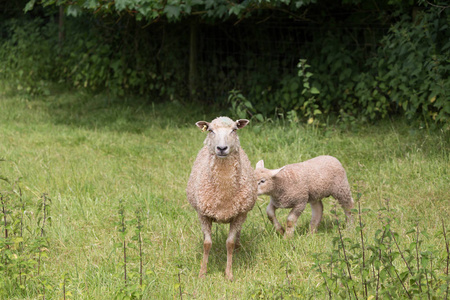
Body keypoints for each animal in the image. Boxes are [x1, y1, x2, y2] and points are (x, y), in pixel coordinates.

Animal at [185, 116, 256, 280]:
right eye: (211, 130)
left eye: (234, 129)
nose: (222, 148)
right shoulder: (203, 214)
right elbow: (207, 244)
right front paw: (202, 272)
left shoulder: (239, 214)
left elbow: (229, 243)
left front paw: (228, 273)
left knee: (238, 233)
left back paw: (238, 247)